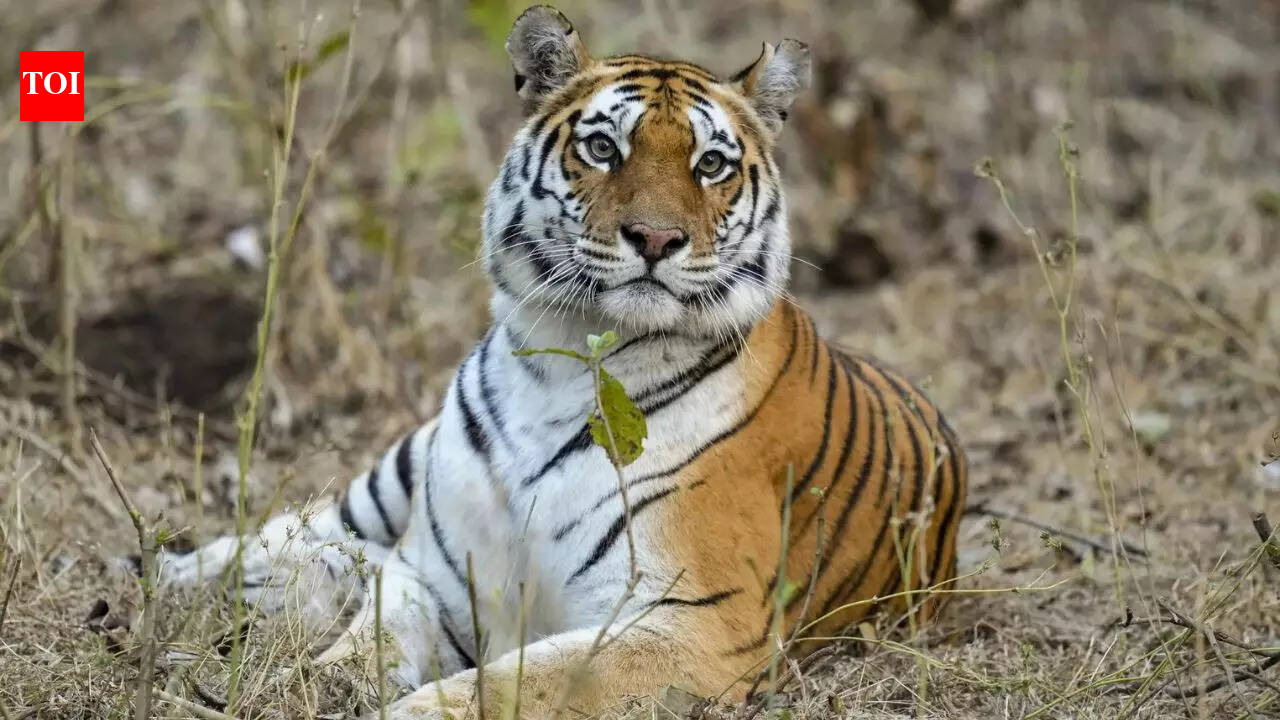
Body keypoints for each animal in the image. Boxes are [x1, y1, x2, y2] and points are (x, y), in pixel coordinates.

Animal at [156, 6, 967, 718]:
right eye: (604, 149)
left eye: (710, 165)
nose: (656, 237)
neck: (566, 358)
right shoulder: (434, 577)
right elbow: (365, 643)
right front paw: (306, 682)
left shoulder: (689, 621)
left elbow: (521, 682)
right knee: (304, 528)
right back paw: (174, 576)